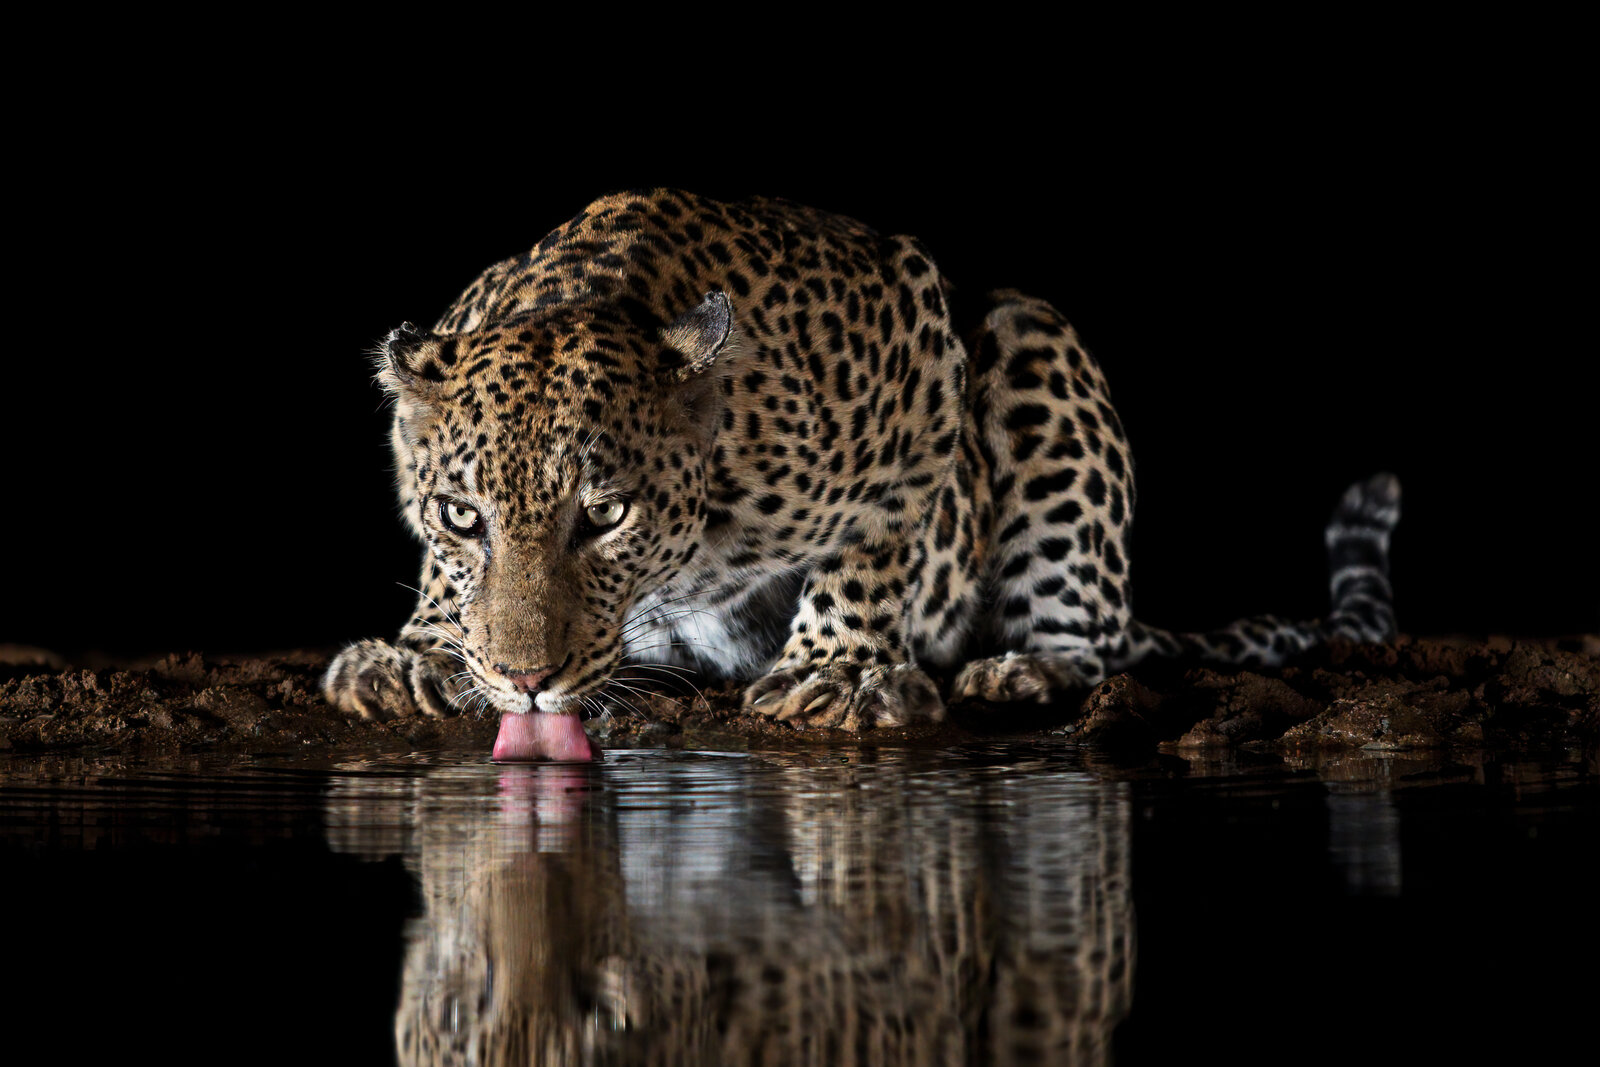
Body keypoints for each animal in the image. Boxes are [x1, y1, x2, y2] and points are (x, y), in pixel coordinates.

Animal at [322, 188, 1399, 753]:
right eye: (462, 517)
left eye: (606, 514)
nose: (526, 680)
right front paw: (422, 650)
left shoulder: (916, 337)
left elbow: (878, 531)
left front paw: (832, 670)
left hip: (1033, 337)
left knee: (1087, 638)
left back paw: (1023, 670)